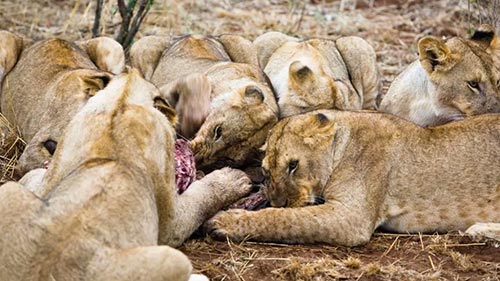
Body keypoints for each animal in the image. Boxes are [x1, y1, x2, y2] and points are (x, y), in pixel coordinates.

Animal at [0, 68, 250, 280]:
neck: (122, 104)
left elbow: (34, 176)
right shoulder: (171, 224)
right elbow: (199, 200)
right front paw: (234, 179)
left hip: (9, 191)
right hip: (171, 259)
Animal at [129, 35, 280, 171]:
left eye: (227, 160)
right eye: (218, 131)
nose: (195, 159)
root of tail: (196, 35)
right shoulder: (167, 86)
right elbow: (198, 81)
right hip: (143, 46)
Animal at [204, 109, 500, 245]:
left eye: (293, 165)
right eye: (266, 171)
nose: (279, 202)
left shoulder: (351, 217)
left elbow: (287, 219)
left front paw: (226, 221)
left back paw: (478, 229)